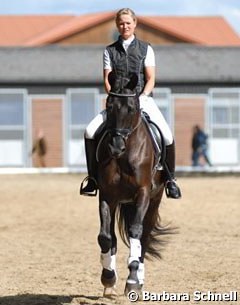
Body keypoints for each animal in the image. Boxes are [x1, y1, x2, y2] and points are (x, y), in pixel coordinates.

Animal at [95, 72, 172, 296]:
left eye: (131, 108)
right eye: (109, 105)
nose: (116, 147)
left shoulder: (143, 193)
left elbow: (136, 232)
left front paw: (132, 279)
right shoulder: (107, 196)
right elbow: (105, 237)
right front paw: (108, 277)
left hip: (154, 201)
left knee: (144, 236)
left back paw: (138, 281)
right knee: (112, 237)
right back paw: (110, 286)